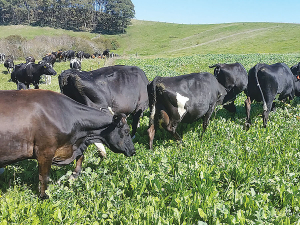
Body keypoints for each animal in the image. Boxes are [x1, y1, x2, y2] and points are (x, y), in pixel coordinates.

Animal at [0, 89, 135, 199]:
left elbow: (81, 157)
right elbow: (44, 177)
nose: (133, 151)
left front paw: (74, 176)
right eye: (127, 131)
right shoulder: (45, 151)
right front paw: (44, 197)